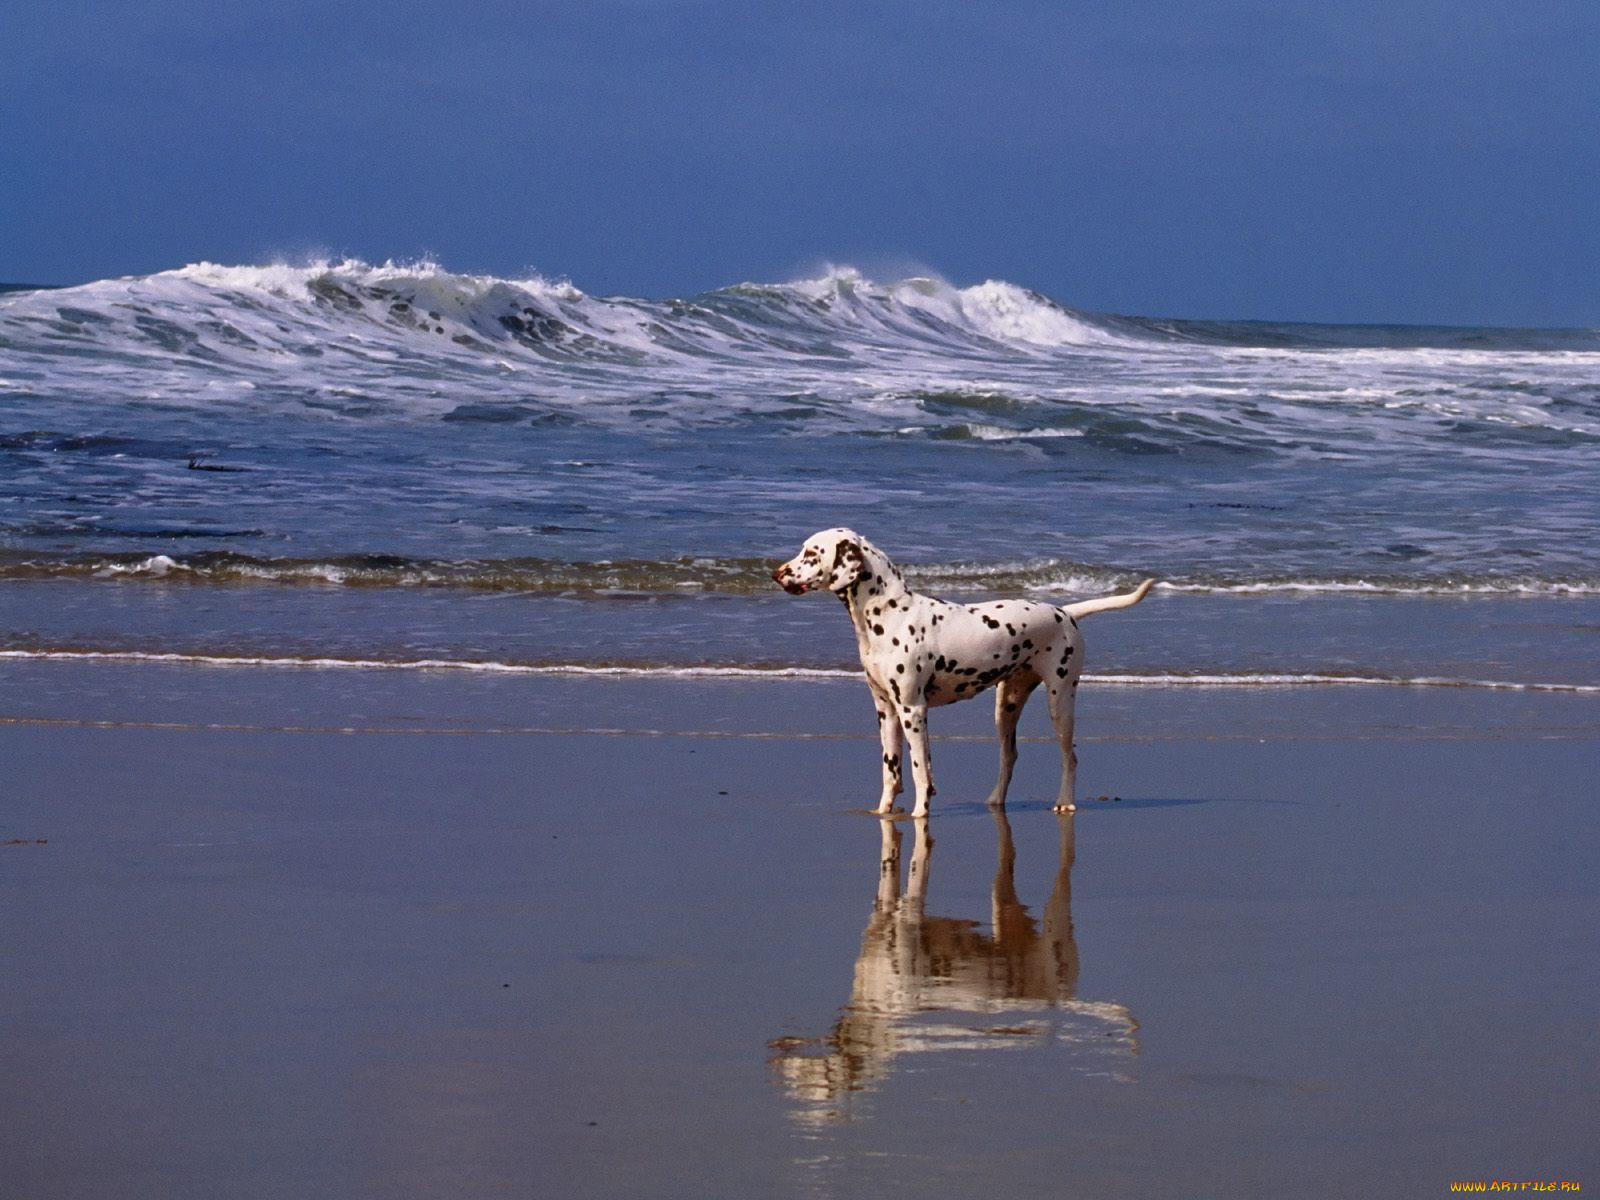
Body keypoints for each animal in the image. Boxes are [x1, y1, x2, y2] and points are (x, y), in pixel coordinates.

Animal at [771, 531, 1158, 825]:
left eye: (811, 552)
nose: (776, 573)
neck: (890, 613)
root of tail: (1064, 612)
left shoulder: (913, 710)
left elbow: (920, 771)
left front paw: (919, 814)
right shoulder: (887, 711)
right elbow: (890, 771)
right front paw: (883, 812)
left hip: (1060, 702)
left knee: (1070, 758)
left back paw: (1065, 802)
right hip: (1006, 707)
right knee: (1009, 756)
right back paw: (995, 800)